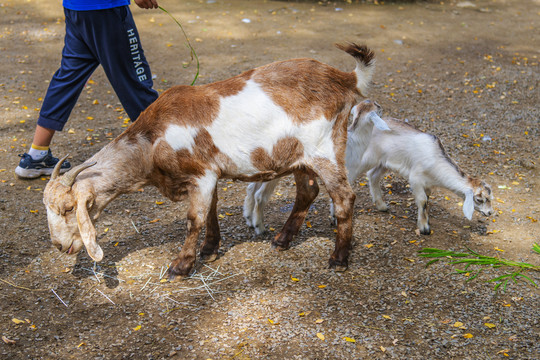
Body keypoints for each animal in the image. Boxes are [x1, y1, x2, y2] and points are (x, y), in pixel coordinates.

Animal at [43, 43, 376, 278]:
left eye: (69, 208)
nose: (58, 246)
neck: (150, 142)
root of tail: (344, 78)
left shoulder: (201, 174)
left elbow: (195, 219)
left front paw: (180, 266)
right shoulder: (209, 175)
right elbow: (211, 211)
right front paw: (210, 250)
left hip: (325, 150)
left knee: (344, 197)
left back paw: (339, 259)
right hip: (300, 157)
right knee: (307, 190)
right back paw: (282, 239)